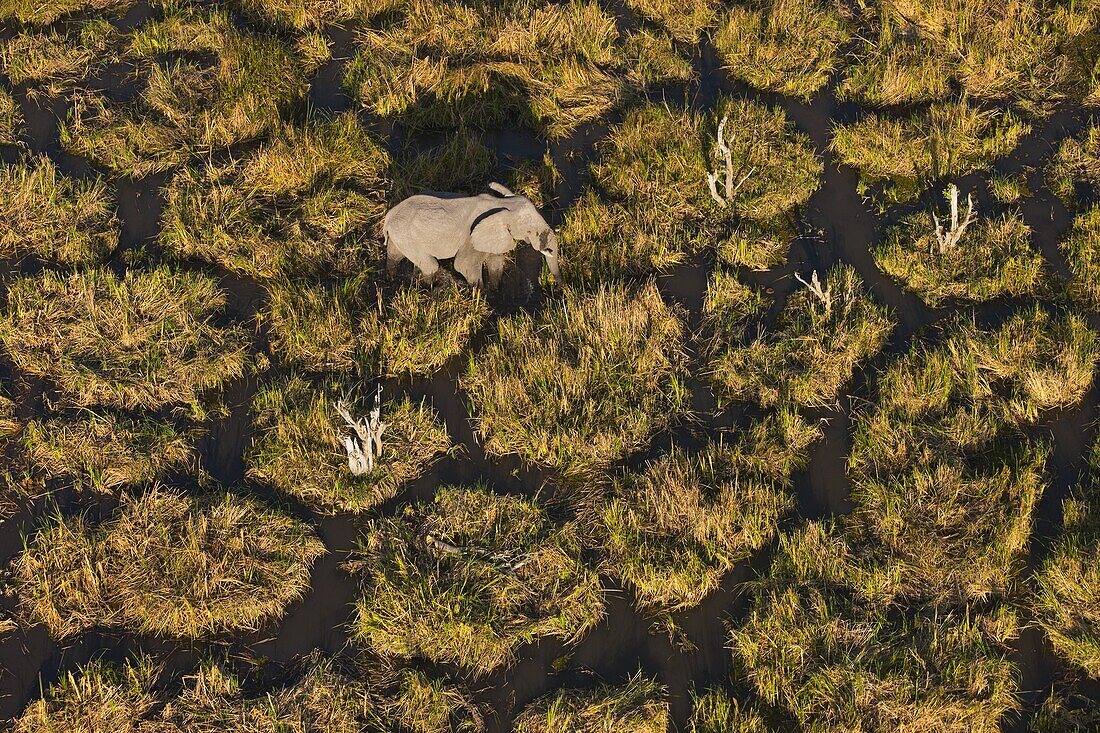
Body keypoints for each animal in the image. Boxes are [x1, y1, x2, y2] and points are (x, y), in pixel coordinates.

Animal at [385, 181, 558, 286]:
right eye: (530, 231)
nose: (558, 288)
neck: (502, 203)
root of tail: (388, 216)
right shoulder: (470, 237)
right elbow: (464, 265)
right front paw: (481, 295)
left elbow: (496, 263)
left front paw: (494, 292)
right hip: (406, 236)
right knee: (430, 266)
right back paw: (429, 288)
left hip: (399, 236)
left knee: (394, 255)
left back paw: (392, 279)